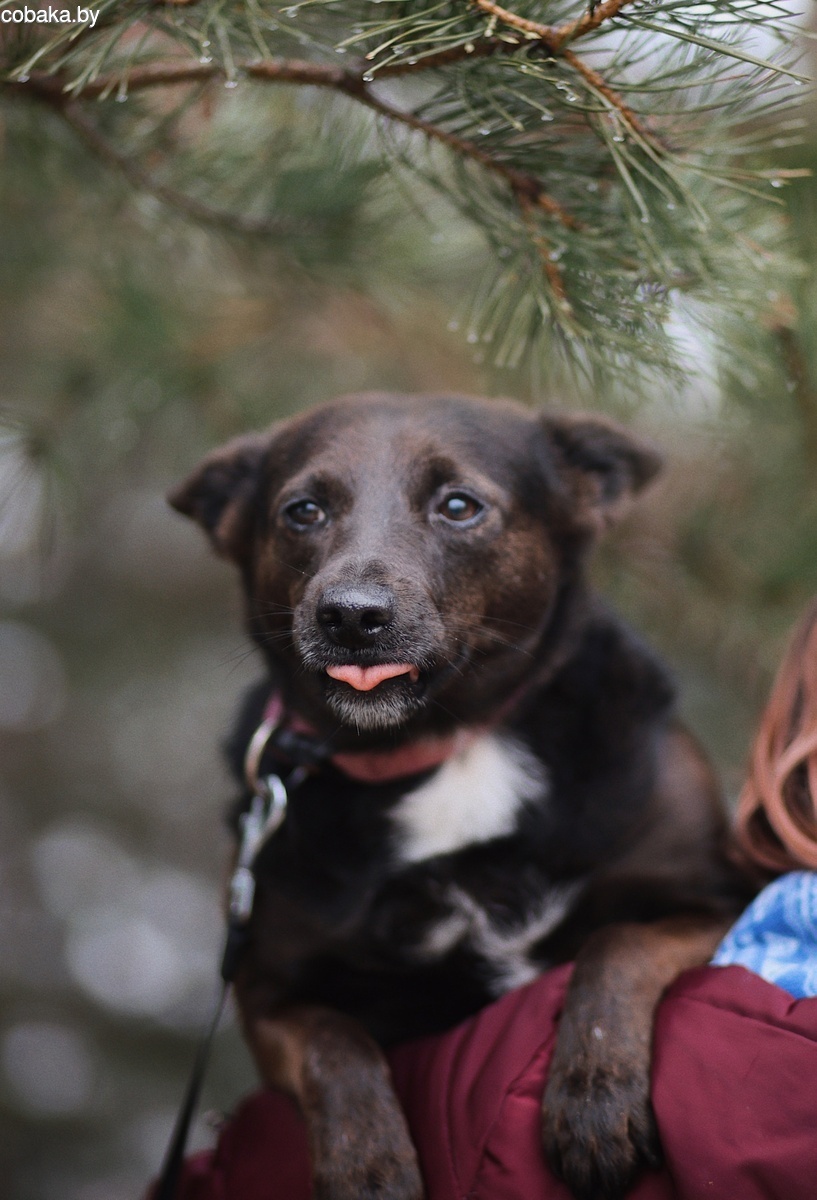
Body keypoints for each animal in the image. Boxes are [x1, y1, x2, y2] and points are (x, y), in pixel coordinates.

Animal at [169, 392, 747, 1200]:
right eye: (302, 511)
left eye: (459, 505)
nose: (351, 616)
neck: (447, 744)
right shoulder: (269, 994)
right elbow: (335, 1045)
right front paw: (368, 1164)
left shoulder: (711, 904)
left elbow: (616, 947)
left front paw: (593, 1097)